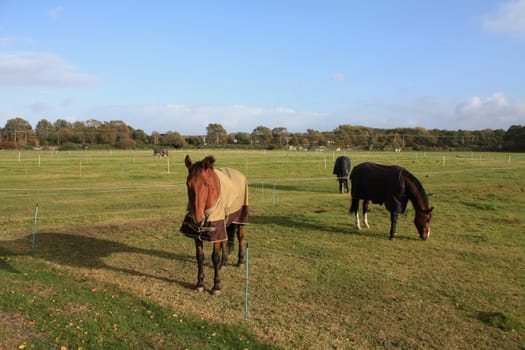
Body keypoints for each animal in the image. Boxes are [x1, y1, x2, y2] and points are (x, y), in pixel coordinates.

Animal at [178, 154, 248, 294]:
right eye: (188, 184)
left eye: (206, 184)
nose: (197, 219)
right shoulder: (197, 234)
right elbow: (200, 256)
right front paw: (200, 283)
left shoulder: (216, 228)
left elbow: (215, 257)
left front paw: (216, 286)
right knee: (225, 241)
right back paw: (224, 263)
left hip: (240, 219)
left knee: (240, 237)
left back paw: (240, 261)